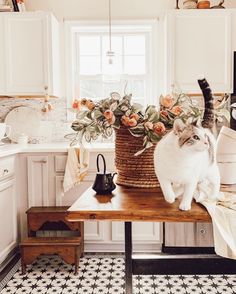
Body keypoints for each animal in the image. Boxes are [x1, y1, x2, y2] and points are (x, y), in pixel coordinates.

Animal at [154, 78, 220, 211]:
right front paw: (170, 196)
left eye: (204, 137)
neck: (182, 157)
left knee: (217, 180)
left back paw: (213, 195)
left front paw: (184, 204)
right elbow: (166, 186)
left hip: (210, 169)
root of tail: (205, 125)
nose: (206, 142)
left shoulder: (192, 178)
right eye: (195, 137)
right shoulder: (161, 173)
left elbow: (188, 192)